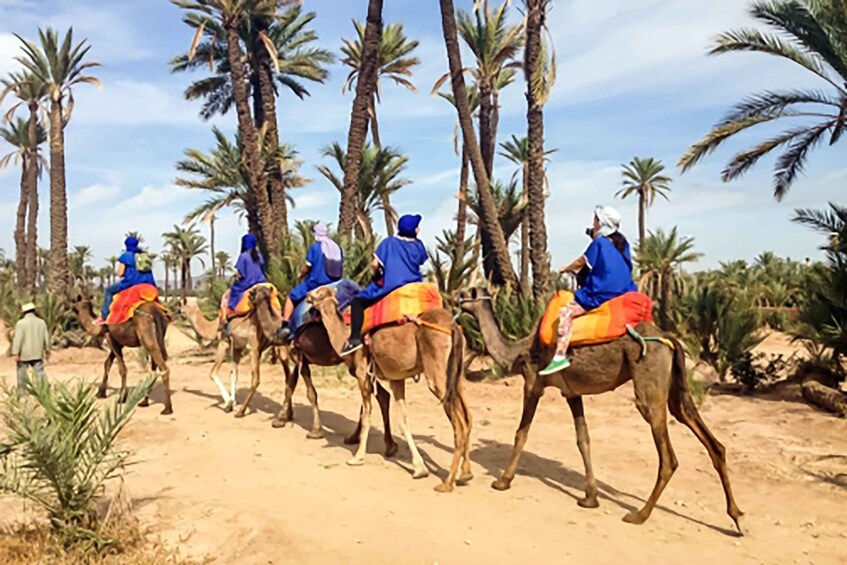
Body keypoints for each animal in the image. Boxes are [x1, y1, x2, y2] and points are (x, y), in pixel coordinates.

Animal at [310, 284, 474, 492]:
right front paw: (419, 468)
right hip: (456, 374)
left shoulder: (363, 374)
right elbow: (402, 419)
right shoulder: (396, 377)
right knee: (468, 417)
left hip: (437, 373)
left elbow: (367, 415)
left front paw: (357, 457)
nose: (307, 295)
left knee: (459, 424)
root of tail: (453, 327)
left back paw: (447, 483)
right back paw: (466, 474)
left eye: (319, 292)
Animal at [460, 288, 744, 532]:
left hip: (648, 382)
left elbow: (521, 433)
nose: (454, 298)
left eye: (465, 294)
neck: (518, 351)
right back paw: (737, 517)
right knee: (706, 435)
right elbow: (583, 438)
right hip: (676, 386)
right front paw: (590, 497)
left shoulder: (533, 383)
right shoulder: (572, 392)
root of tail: (669, 339)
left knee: (668, 457)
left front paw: (502, 481)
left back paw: (639, 515)